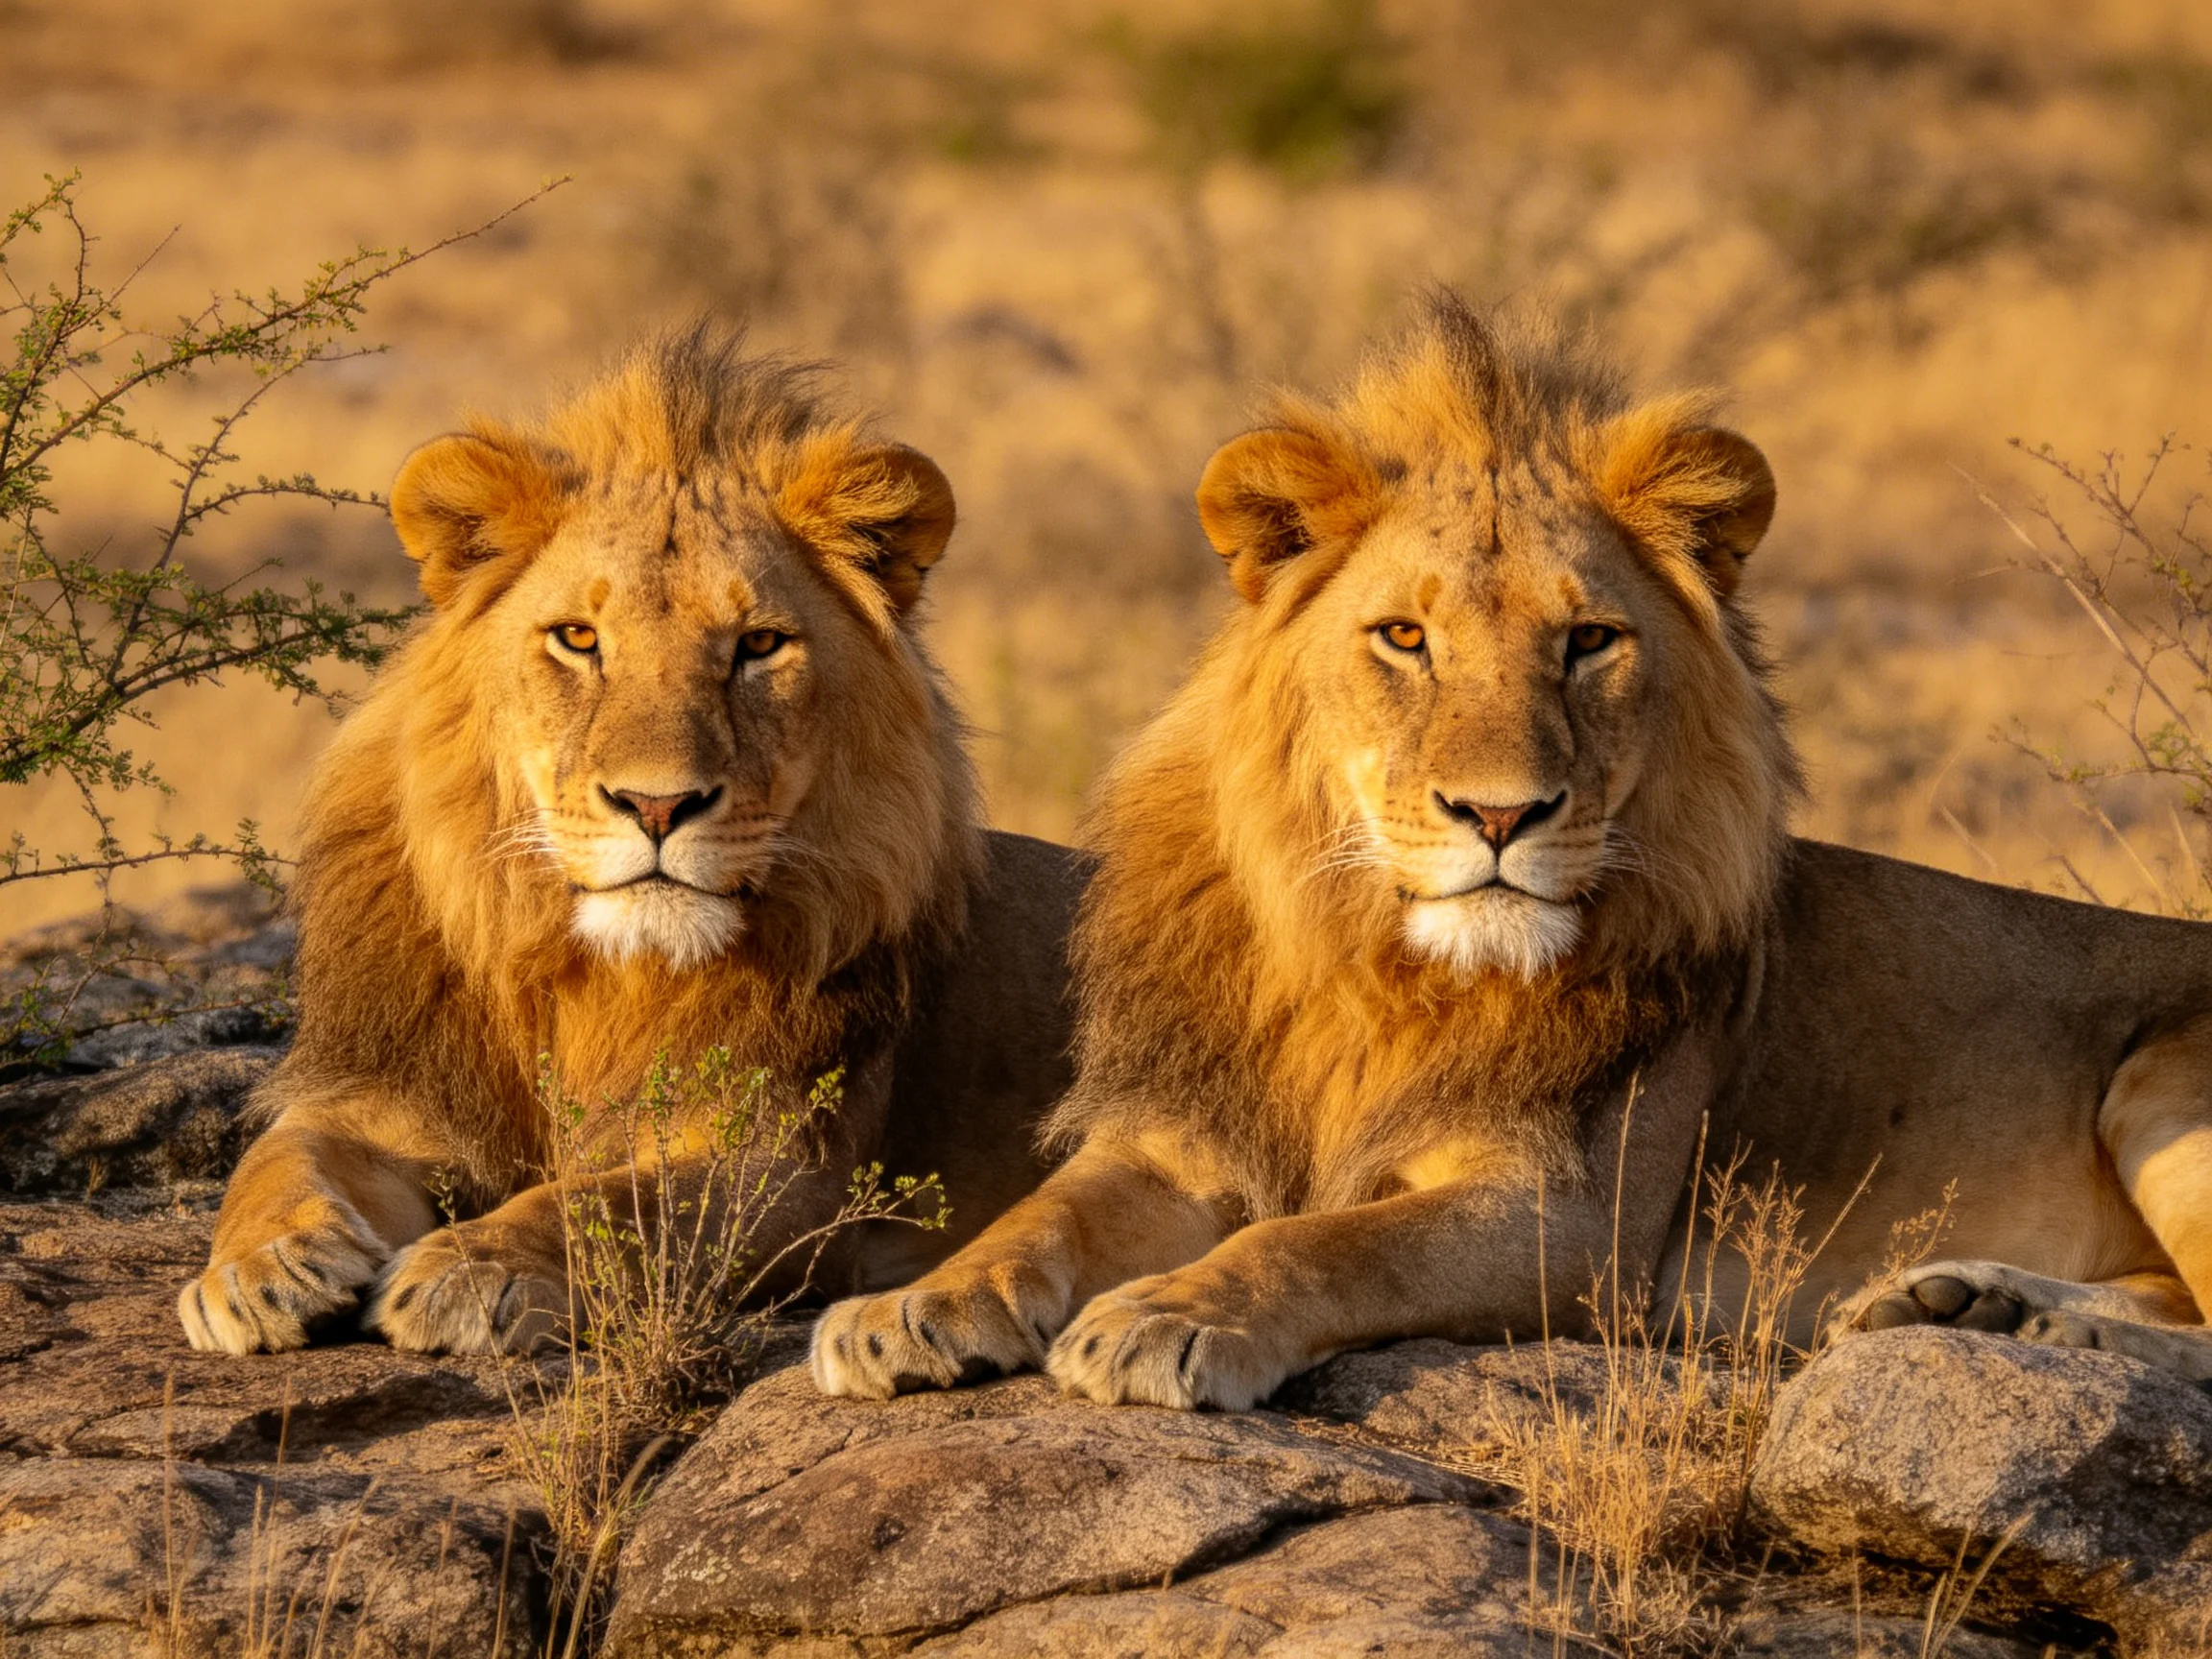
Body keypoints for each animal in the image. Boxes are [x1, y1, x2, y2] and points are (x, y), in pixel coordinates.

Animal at [179, 326, 1082, 1356]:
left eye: (759, 646)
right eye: (578, 638)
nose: (657, 806)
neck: (604, 980)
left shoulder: (791, 1173)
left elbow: (607, 1204)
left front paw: (470, 1266)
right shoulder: (387, 1094)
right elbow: (277, 1157)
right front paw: (260, 1269)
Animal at [811, 293, 2212, 1409]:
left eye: (1589, 641)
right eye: (1404, 638)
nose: (1500, 816)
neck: (1370, 970)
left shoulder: (1569, 1221)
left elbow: (1325, 1242)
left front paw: (1172, 1313)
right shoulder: (1182, 1140)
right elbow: (1034, 1215)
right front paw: (908, 1309)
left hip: (2163, 1079)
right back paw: (1971, 1304)